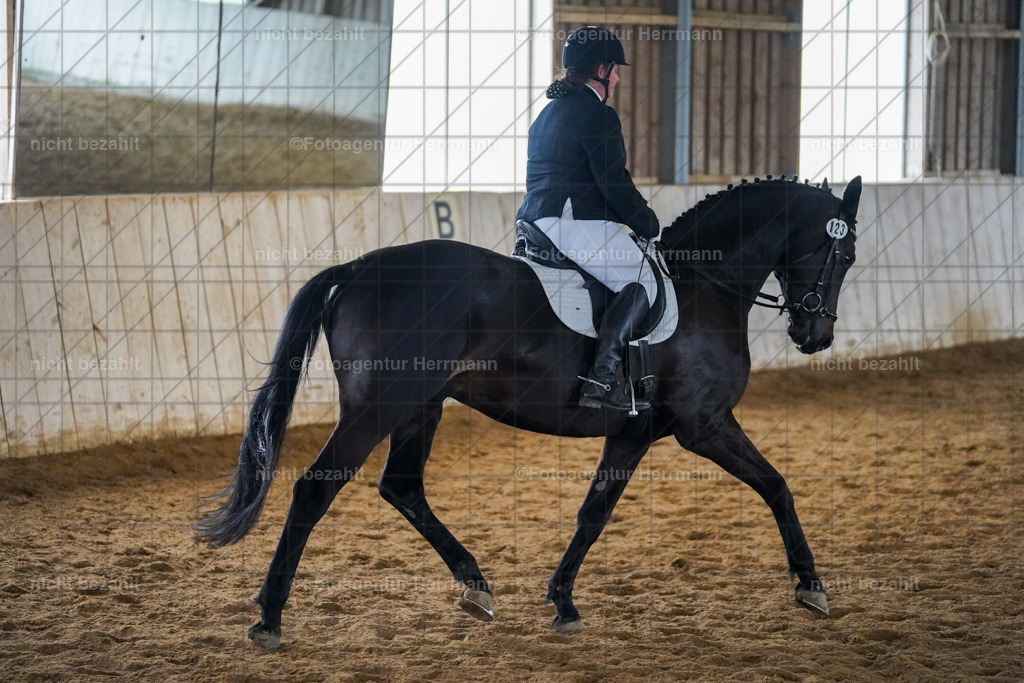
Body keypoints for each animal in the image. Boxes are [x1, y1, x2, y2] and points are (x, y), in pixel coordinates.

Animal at [194, 175, 862, 649]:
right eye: (844, 253)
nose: (816, 337)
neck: (706, 286)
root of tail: (359, 266)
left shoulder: (635, 432)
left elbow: (593, 514)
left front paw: (563, 601)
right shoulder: (703, 426)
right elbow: (776, 486)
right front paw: (811, 586)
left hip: (420, 405)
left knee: (402, 487)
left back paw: (476, 587)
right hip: (378, 406)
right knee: (316, 487)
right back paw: (270, 617)